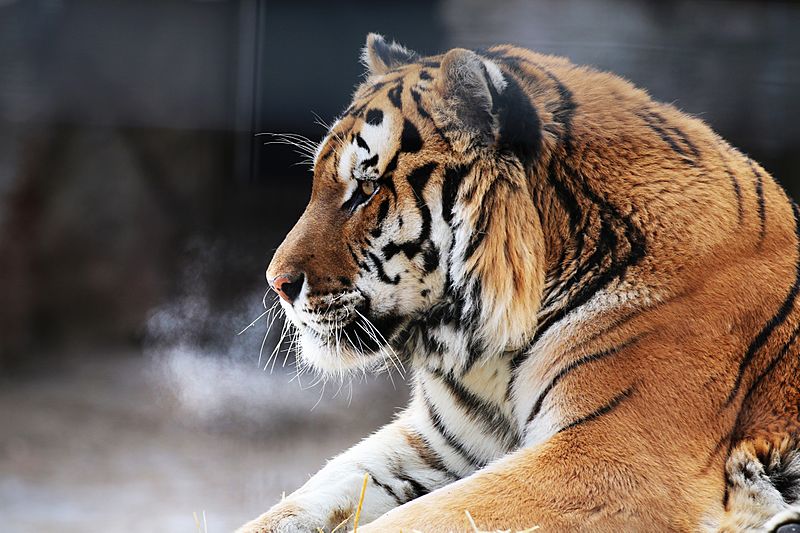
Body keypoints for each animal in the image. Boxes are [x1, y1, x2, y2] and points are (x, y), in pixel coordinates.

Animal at [238, 34, 800, 532]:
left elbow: (416, 521)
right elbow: (313, 493)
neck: (487, 351)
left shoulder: (612, 460)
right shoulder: (438, 443)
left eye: (368, 187)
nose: (276, 283)